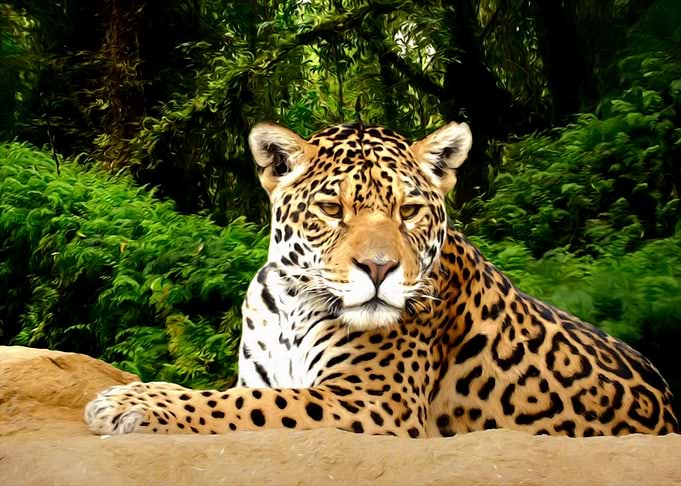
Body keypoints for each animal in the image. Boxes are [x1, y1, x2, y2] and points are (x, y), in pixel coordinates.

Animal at [85, 121, 678, 438]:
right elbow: (222, 395)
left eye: (409, 211)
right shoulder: (264, 378)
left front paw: (130, 405)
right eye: (331, 209)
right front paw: (132, 396)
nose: (378, 269)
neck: (291, 304)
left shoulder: (373, 401)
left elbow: (239, 408)